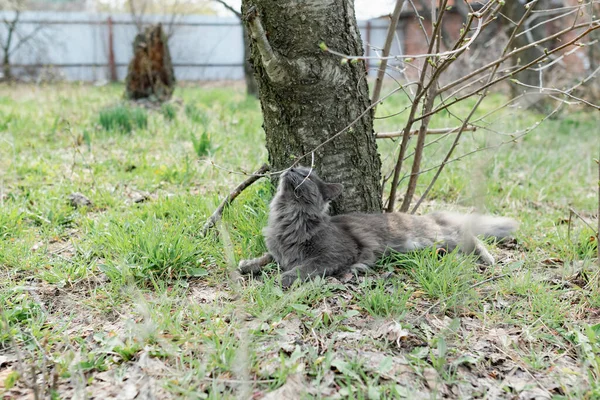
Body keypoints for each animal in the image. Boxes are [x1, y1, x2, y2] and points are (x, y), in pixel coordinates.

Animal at [237, 166, 516, 288]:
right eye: (296, 167)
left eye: (306, 175)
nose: (291, 167)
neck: (288, 217)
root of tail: (429, 215)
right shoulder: (278, 250)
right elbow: (266, 257)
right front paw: (247, 265)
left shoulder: (337, 252)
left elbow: (307, 266)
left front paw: (284, 278)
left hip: (437, 237)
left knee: (469, 236)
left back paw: (488, 258)